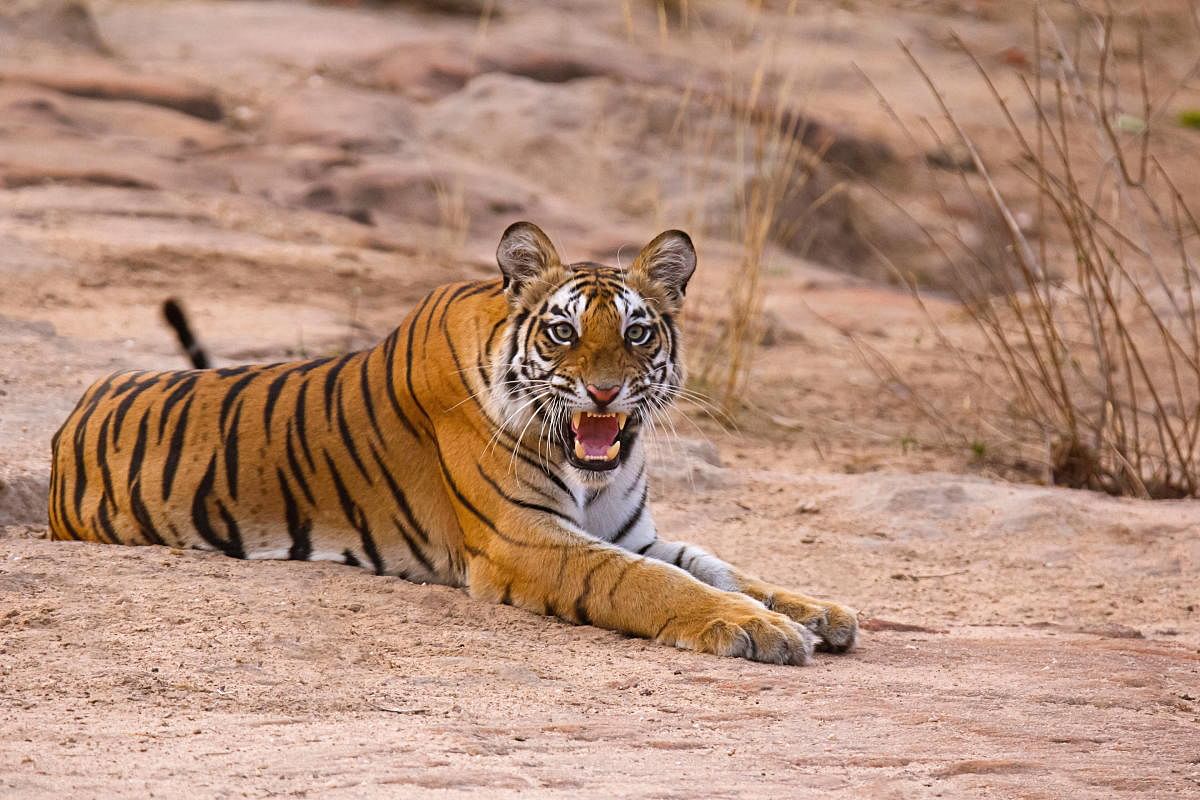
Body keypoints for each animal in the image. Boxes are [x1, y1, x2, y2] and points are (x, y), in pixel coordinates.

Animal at [46, 221, 854, 666]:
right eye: (563, 332)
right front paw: (757, 629)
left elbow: (720, 566)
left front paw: (816, 611)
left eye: (636, 333)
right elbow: (654, 583)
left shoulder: (631, 530)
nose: (603, 393)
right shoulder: (525, 541)